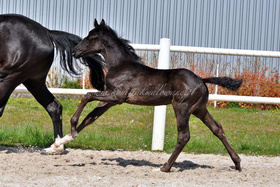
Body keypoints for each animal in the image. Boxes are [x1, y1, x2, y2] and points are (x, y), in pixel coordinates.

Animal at [52, 19, 243, 172]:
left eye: (91, 37)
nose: (75, 51)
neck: (120, 65)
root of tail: (201, 80)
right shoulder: (110, 101)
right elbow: (90, 118)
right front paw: (58, 144)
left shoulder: (117, 97)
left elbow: (87, 96)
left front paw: (72, 127)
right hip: (199, 109)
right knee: (217, 128)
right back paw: (237, 163)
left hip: (182, 107)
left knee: (184, 136)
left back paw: (165, 167)